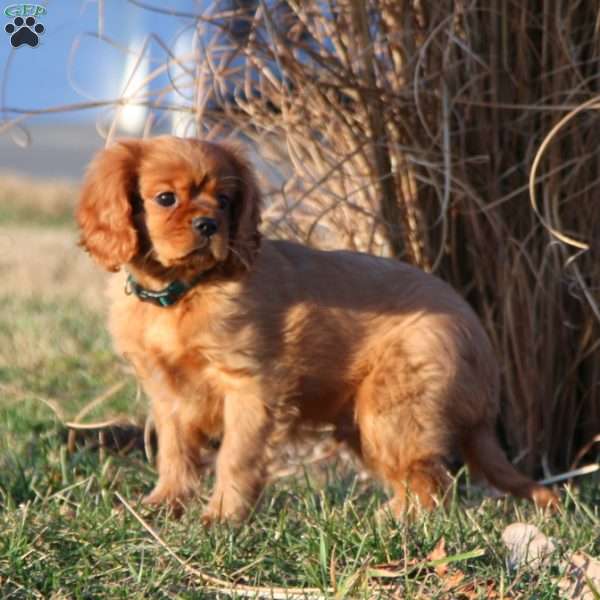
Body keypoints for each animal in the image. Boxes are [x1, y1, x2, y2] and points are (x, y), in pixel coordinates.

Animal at [77, 136, 556, 520]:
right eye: (165, 199)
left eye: (227, 200)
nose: (209, 225)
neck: (181, 293)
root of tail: (483, 346)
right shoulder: (168, 395)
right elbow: (175, 453)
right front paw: (164, 505)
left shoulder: (250, 387)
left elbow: (235, 457)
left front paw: (221, 518)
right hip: (364, 423)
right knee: (417, 479)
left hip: (394, 412)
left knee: (431, 483)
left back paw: (392, 523)